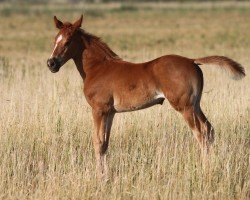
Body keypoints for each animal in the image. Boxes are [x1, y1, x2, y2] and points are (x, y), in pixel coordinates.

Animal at [47, 15, 246, 178]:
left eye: (68, 41)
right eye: (55, 40)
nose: (51, 63)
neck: (98, 68)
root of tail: (192, 61)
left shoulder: (99, 110)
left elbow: (97, 142)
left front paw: (100, 177)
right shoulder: (110, 112)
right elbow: (105, 143)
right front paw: (105, 175)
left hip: (185, 107)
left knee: (201, 134)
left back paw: (205, 171)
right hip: (195, 105)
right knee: (209, 130)